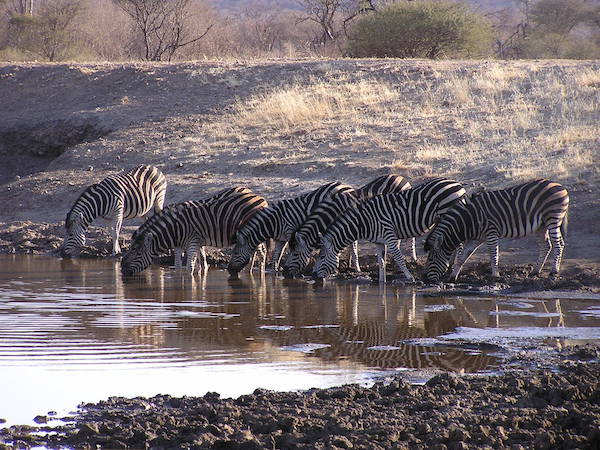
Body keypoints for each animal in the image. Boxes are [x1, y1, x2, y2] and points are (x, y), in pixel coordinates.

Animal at [122, 189, 268, 276]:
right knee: (253, 250)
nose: (123, 271)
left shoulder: (192, 241)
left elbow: (190, 267)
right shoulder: (180, 245)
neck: (174, 228)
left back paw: (259, 273)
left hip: (255, 230)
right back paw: (248, 270)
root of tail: (260, 197)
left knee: (262, 252)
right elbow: (178, 266)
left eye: (136, 252)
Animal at [282, 175, 414, 278]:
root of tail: (400, 177)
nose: (285, 272)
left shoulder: (353, 222)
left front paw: (356, 268)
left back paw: (412, 258)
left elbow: (352, 248)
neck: (333, 213)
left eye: (295, 254)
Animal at [314, 178, 468, 282]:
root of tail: (457, 184)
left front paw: (410, 277)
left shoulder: (389, 235)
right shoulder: (379, 241)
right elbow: (381, 262)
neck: (363, 222)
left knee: (459, 243)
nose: (315, 277)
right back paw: (451, 264)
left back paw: (453, 265)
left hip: (452, 216)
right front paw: (382, 282)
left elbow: (399, 258)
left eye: (321, 257)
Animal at [422, 178, 568, 282]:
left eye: (431, 260)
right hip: (541, 225)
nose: (427, 280)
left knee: (558, 244)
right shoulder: (477, 238)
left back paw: (554, 271)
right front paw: (453, 277)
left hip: (553, 218)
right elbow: (463, 257)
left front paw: (495, 275)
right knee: (546, 245)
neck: (468, 220)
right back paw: (535, 271)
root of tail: (560, 185)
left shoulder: (491, 232)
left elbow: (494, 254)